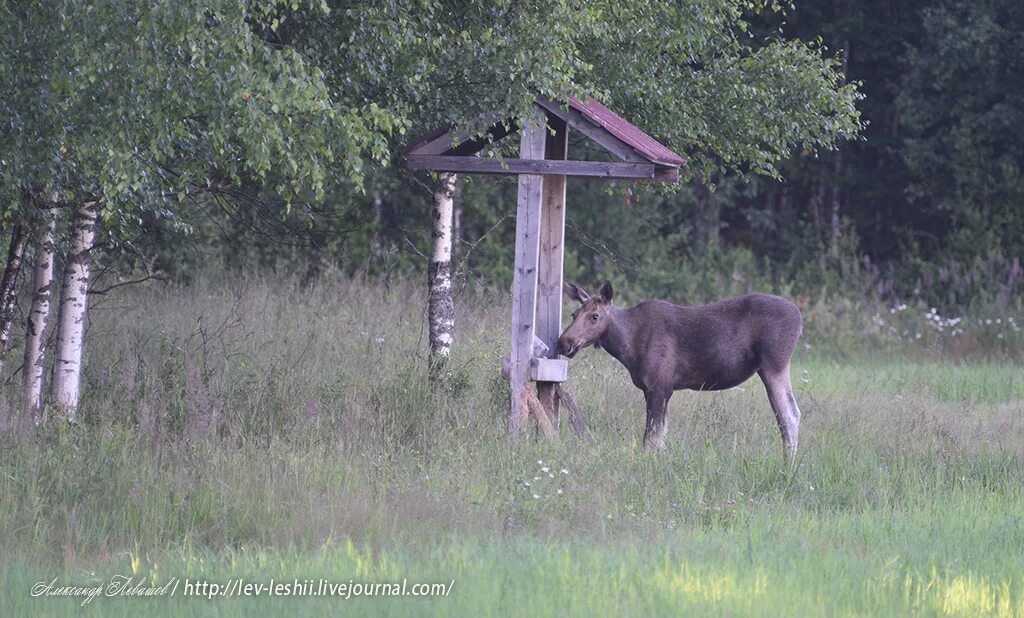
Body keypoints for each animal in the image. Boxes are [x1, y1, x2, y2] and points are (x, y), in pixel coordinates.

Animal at [557, 282, 802, 460]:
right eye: (574, 314)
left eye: (595, 316)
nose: (563, 342)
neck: (627, 345)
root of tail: (800, 320)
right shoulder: (663, 390)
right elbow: (662, 436)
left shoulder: (657, 387)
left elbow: (651, 437)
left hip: (774, 365)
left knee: (789, 415)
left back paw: (788, 464)